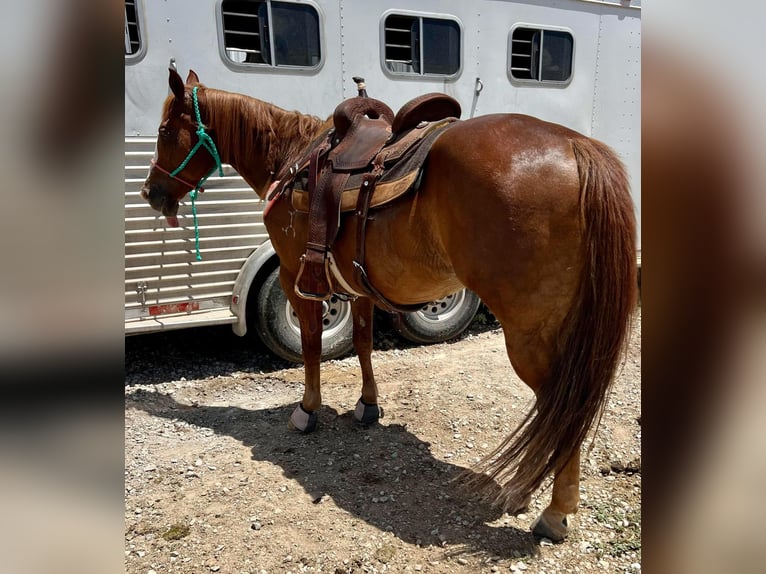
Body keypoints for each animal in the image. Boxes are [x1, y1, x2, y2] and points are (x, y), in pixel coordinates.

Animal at [140, 68, 637, 542]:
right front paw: (367, 405)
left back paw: (553, 512)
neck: (292, 156)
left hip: (530, 335)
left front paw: (307, 409)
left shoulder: (296, 280)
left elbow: (311, 348)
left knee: (562, 407)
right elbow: (362, 344)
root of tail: (576, 147)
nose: (150, 193)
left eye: (164, 131)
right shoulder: (359, 287)